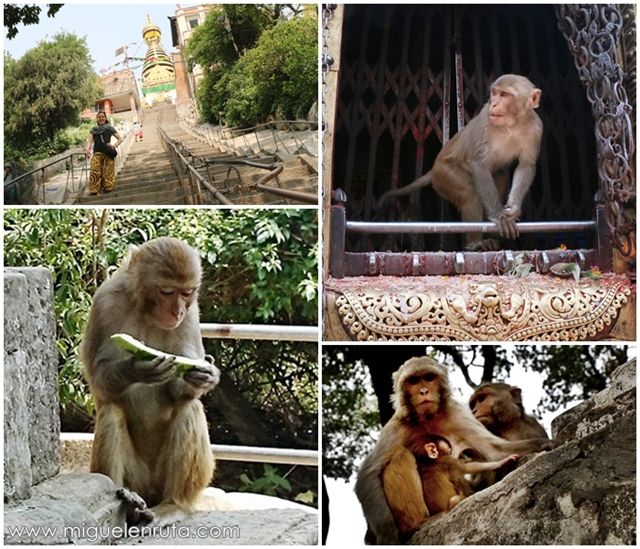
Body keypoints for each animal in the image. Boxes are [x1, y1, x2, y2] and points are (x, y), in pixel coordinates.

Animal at [80, 237, 221, 528]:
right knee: (111, 413)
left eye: (187, 293)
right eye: (167, 291)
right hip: (137, 476)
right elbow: (99, 382)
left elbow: (182, 392)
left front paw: (203, 376)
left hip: (165, 480)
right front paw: (136, 368)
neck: (146, 311)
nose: (177, 311)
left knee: (189, 409)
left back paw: (173, 505)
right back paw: (128, 500)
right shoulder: (104, 302)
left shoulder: (192, 315)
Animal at [352, 356, 548, 544]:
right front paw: (387, 536)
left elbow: (495, 450)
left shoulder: (458, 415)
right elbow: (368, 476)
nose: (423, 391)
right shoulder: (396, 426)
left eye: (429, 378)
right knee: (401, 454)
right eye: (413, 381)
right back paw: (418, 524)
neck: (426, 418)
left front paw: (545, 445)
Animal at [378, 74, 544, 249]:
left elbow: (526, 165)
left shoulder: (536, 127)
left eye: (504, 95)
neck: (511, 125)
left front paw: (514, 207)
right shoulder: (485, 122)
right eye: (494, 93)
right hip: (444, 175)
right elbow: (479, 165)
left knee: (500, 173)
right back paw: (475, 243)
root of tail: (434, 169)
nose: (494, 103)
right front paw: (499, 217)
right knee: (469, 193)